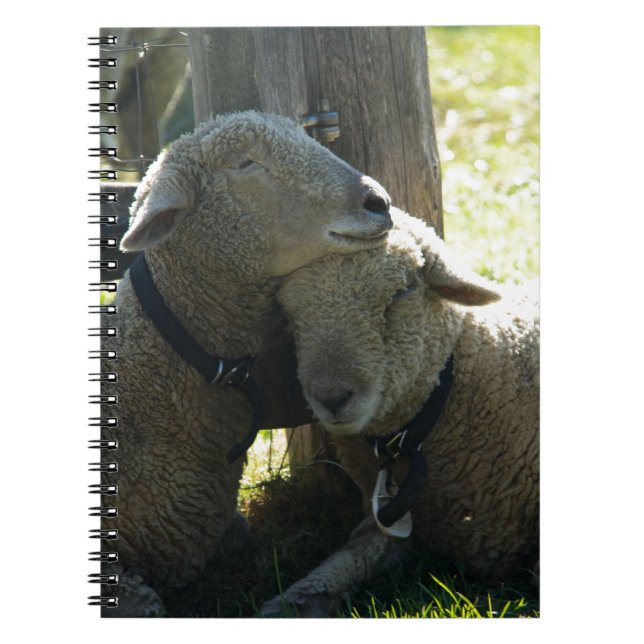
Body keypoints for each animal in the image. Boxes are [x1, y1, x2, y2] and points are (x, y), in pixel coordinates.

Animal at [263, 208, 539, 617]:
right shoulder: (394, 524)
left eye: (401, 293)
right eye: (288, 312)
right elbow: (346, 560)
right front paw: (291, 602)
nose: (332, 397)